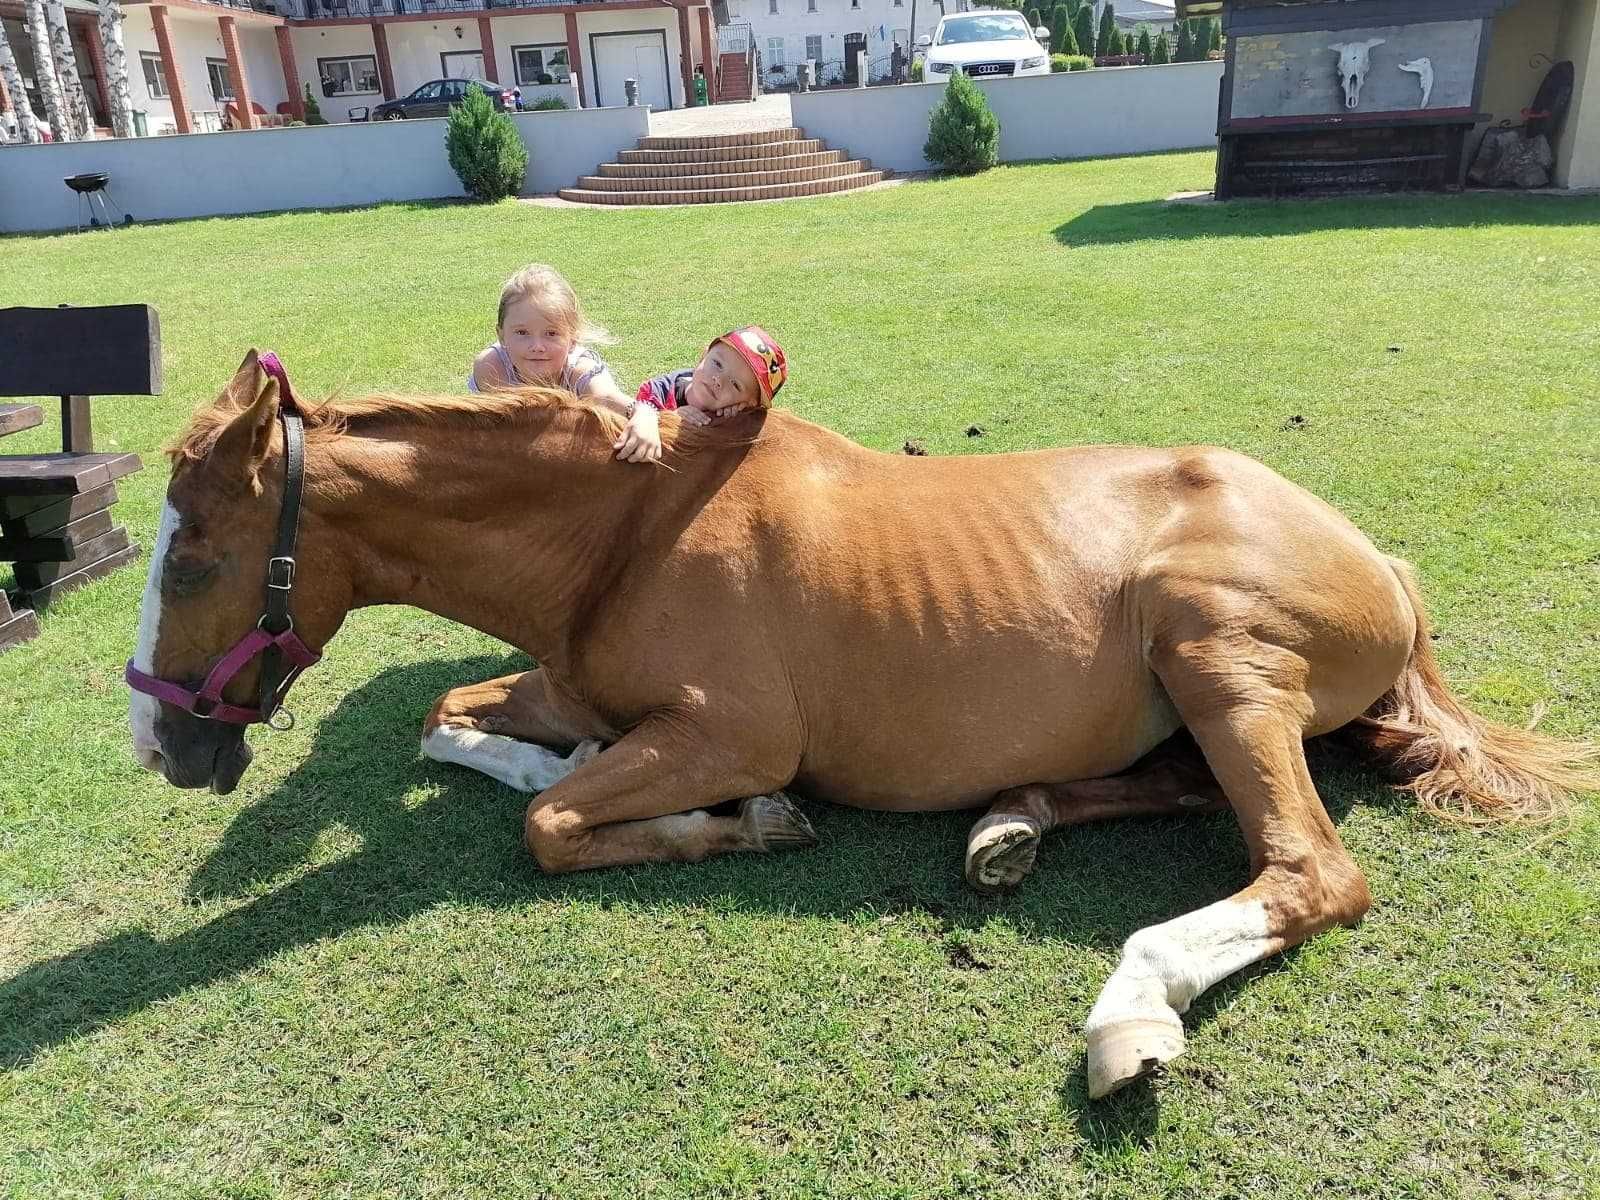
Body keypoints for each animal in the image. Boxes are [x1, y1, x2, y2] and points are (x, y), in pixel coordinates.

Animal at [128, 355, 1600, 1100]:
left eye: (193, 558)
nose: (162, 751)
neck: (627, 532)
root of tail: (1385, 568)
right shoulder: (570, 684)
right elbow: (456, 719)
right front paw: (566, 755)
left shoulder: (728, 737)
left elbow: (551, 822)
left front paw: (735, 826)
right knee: (1177, 791)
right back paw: (1008, 822)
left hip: (1211, 650)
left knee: (1304, 868)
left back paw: (1132, 1011)